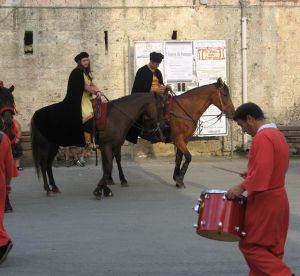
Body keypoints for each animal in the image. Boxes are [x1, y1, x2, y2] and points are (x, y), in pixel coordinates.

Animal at [31, 92, 165, 198]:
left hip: (53, 146)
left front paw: (106, 187)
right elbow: (108, 166)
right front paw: (100, 188)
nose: (161, 129)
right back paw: (48, 189)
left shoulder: (114, 145)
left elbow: (110, 165)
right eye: (161, 107)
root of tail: (36, 114)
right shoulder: (106, 146)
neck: (117, 116)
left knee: (48, 165)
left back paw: (54, 187)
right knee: (43, 164)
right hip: (45, 146)